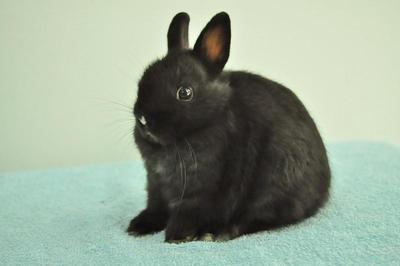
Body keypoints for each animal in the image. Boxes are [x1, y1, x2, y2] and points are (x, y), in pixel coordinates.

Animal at [126, 11, 330, 242]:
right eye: (142, 81)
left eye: (185, 92)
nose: (143, 119)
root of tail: (323, 189)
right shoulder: (156, 183)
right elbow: (156, 206)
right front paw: (139, 226)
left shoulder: (205, 188)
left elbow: (188, 213)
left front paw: (177, 236)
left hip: (275, 187)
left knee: (259, 219)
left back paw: (218, 232)